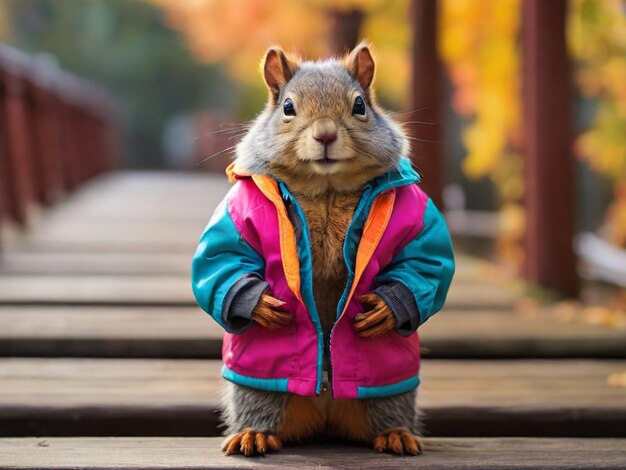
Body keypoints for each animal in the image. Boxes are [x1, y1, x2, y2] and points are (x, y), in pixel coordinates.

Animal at [190, 43, 454, 456]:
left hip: (387, 391)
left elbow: (423, 259)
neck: (326, 187)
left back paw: (394, 433)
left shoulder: (415, 213)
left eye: (360, 105)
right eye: (287, 107)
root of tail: (325, 405)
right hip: (258, 388)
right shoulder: (240, 208)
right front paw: (260, 303)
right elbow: (222, 258)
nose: (326, 134)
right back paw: (254, 433)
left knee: (386, 408)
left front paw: (387, 307)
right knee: (262, 405)